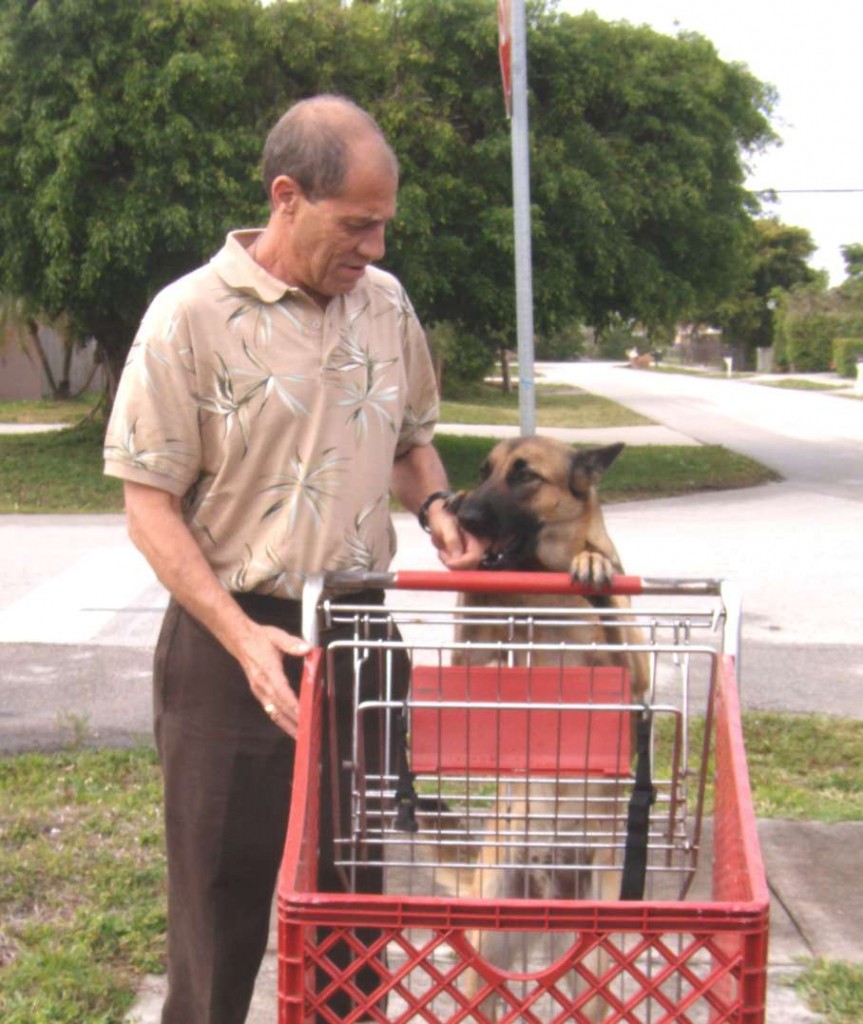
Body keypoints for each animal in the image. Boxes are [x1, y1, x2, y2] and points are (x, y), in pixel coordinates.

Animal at [442, 436, 651, 1019]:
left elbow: (613, 607)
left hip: (596, 957)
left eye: (524, 475)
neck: (545, 592)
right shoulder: (468, 663)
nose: (463, 514)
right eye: (484, 472)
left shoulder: (637, 679)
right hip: (489, 942)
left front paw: (594, 561)